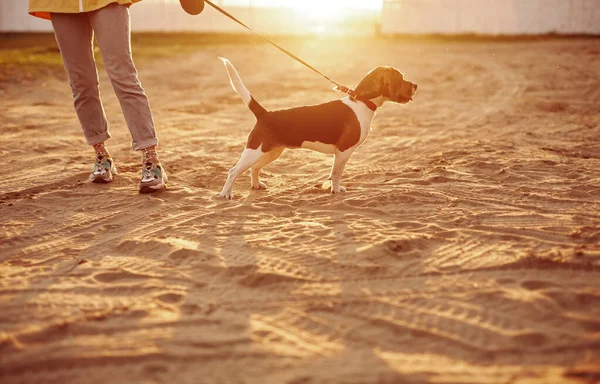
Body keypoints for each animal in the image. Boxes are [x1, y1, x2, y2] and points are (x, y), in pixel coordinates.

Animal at [219, 58, 418, 201]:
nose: (416, 85)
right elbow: (336, 174)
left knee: (254, 168)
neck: (362, 102)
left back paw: (256, 185)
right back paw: (226, 194)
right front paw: (335, 191)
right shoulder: (343, 151)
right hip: (254, 151)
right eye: (400, 78)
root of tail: (265, 114)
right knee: (233, 171)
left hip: (271, 152)